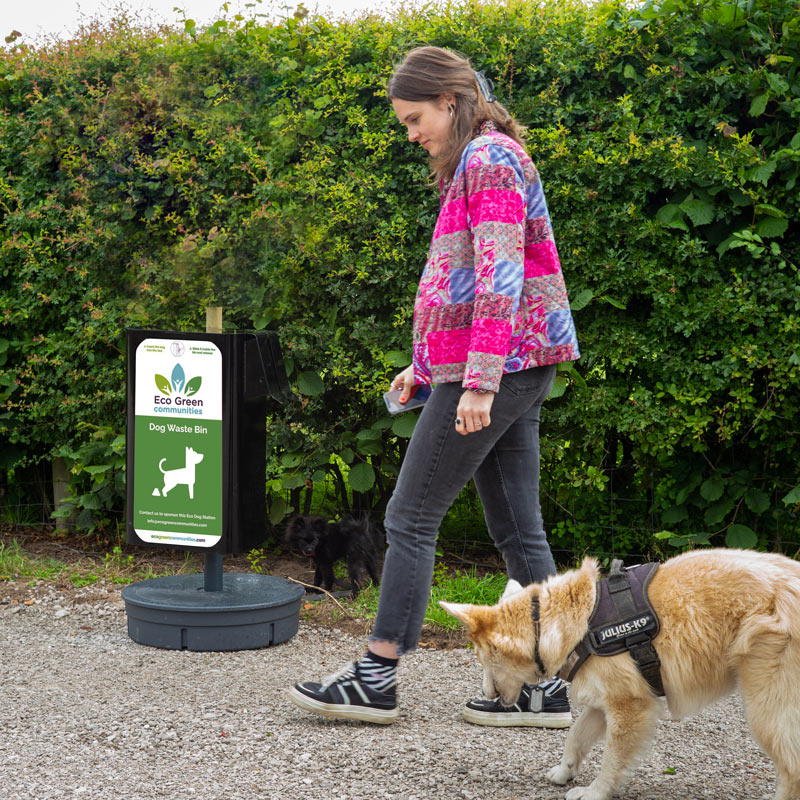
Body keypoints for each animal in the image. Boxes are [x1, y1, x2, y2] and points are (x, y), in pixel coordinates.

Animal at [440, 552, 800, 800]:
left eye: (484, 660)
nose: (489, 698)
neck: (577, 624)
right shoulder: (605, 701)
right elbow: (576, 737)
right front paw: (565, 771)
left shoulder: (630, 707)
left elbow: (611, 760)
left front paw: (595, 792)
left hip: (767, 709)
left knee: (792, 769)